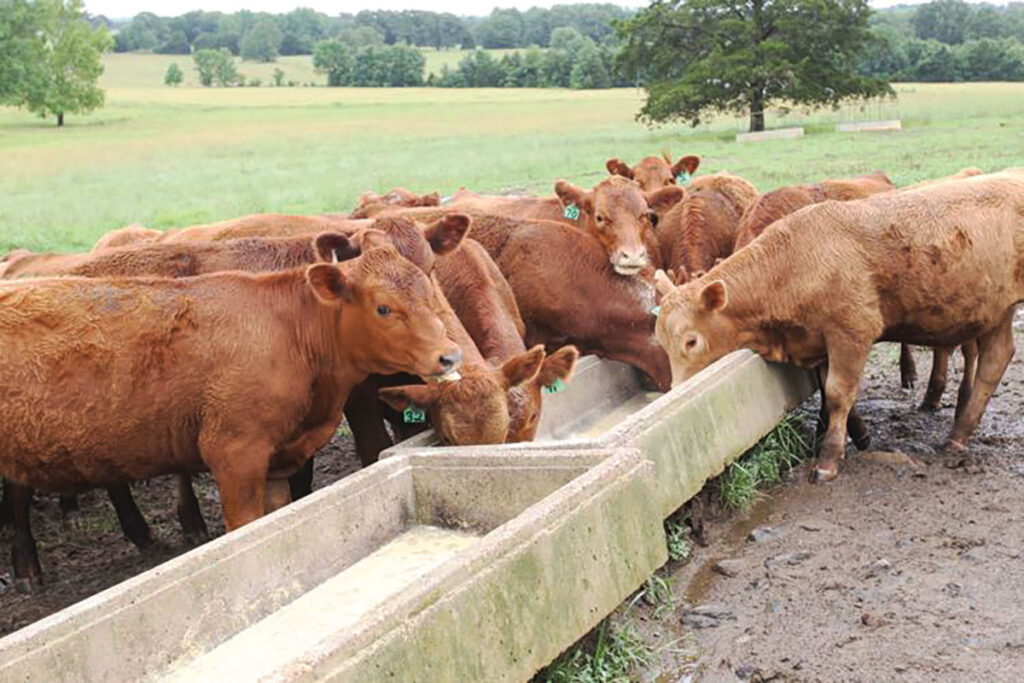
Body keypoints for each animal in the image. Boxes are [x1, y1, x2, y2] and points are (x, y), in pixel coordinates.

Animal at [655, 171, 1024, 481]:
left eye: (691, 341)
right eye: (662, 342)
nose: (676, 390)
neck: (791, 263)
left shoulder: (851, 332)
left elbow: (838, 393)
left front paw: (829, 458)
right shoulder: (815, 341)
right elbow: (830, 390)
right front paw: (858, 435)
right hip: (995, 311)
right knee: (996, 358)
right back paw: (959, 433)